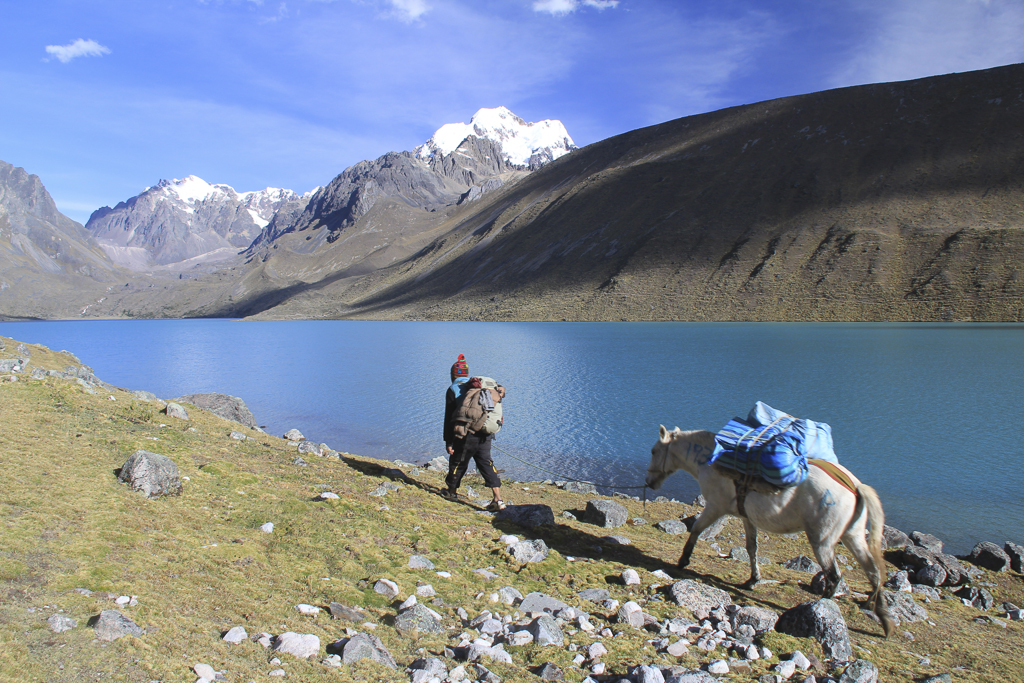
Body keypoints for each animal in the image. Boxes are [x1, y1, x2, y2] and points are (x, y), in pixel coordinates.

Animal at [647, 423, 897, 638]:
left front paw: (683, 560)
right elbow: (752, 547)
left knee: (834, 576)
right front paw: (752, 580)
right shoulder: (746, 517)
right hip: (853, 536)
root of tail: (855, 486)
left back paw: (819, 606)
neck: (709, 460)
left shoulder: (715, 507)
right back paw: (881, 616)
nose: (650, 482)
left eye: (653, 450)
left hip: (822, 541)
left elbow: (697, 530)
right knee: (873, 571)